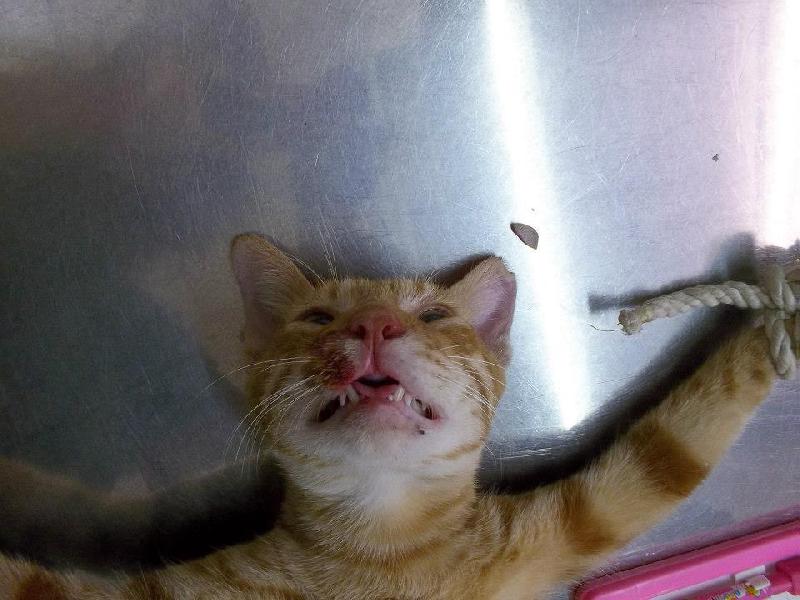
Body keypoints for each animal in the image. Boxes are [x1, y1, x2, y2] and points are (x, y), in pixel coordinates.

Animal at [0, 233, 783, 599]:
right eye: (318, 317)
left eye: (432, 315)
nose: (374, 324)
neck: (380, 543)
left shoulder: (575, 521)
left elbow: (671, 446)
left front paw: (774, 324)